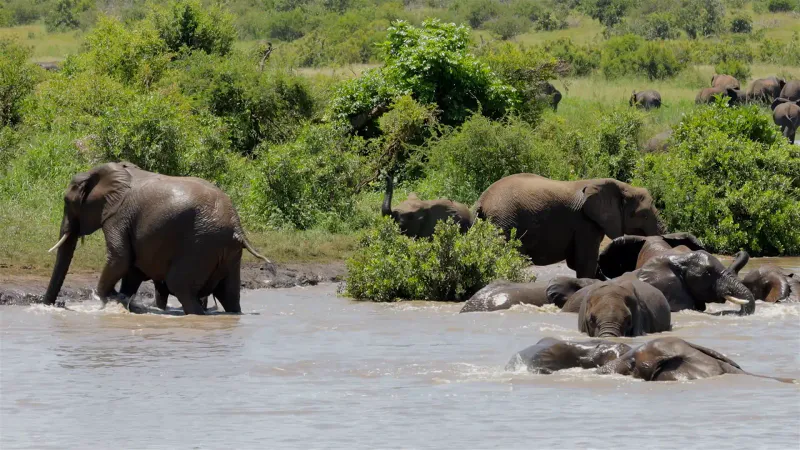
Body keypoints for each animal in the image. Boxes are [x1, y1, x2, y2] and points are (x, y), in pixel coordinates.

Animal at [42, 162, 274, 315]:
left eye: (67, 201)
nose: (54, 305)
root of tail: (237, 227)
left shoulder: (118, 216)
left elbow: (120, 259)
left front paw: (106, 299)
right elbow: (132, 269)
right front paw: (121, 299)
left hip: (200, 246)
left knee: (181, 287)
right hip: (228, 254)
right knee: (230, 296)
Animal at [475, 174, 663, 279]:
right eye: (644, 215)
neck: (622, 186)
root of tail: (481, 200)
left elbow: (576, 263)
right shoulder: (586, 224)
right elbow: (585, 263)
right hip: (503, 222)